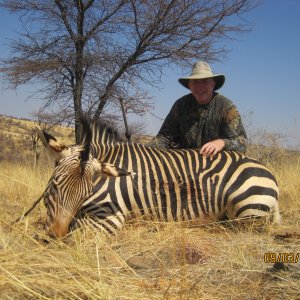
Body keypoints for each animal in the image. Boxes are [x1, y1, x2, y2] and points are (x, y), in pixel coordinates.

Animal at [36, 118, 280, 238]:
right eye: (54, 186)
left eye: (84, 193)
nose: (54, 235)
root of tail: (268, 171)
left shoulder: (110, 215)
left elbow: (78, 229)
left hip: (245, 211)